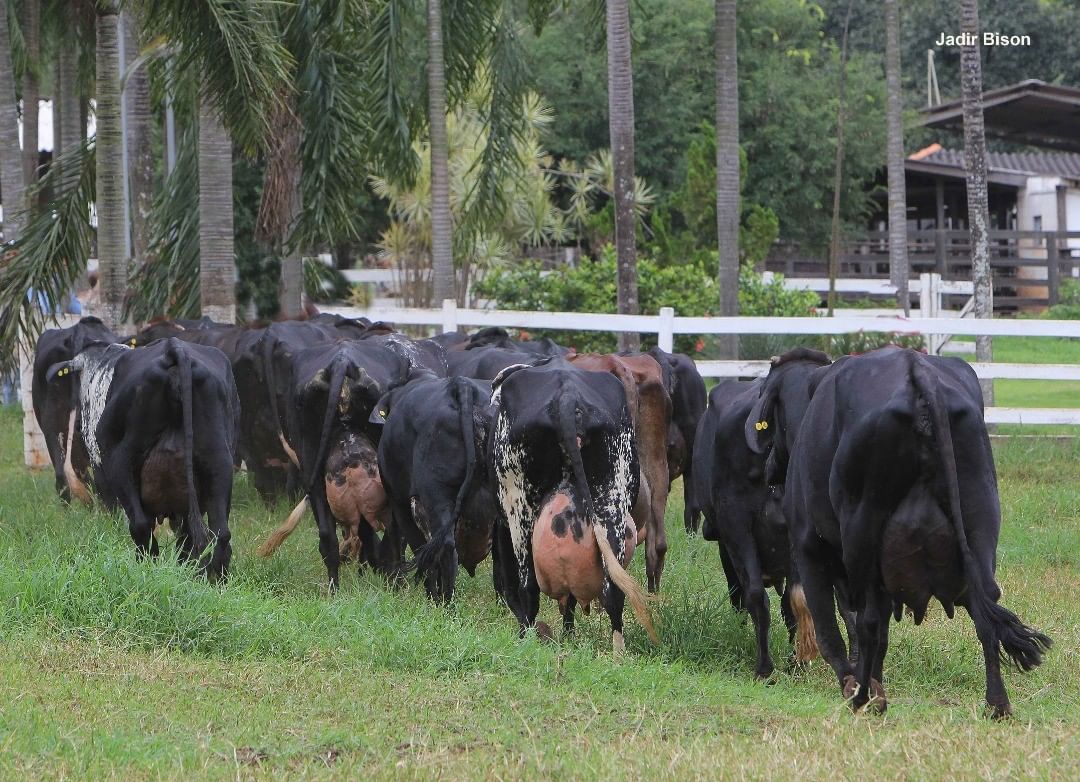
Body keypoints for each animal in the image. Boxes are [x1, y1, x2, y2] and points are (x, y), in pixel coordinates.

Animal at [367, 371, 494, 600]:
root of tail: (460, 385)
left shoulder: (399, 500)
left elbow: (412, 542)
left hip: (436, 495)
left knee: (445, 548)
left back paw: (442, 600)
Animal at [490, 356, 656, 652]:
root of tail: (567, 395)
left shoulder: (503, 520)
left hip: (521, 512)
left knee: (528, 587)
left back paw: (527, 640)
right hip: (610, 505)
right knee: (613, 589)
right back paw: (618, 653)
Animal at [781, 345, 1049, 712]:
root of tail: (915, 369)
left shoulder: (808, 544)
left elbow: (830, 629)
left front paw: (855, 684)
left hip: (861, 534)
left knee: (867, 621)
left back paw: (863, 698)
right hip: (979, 525)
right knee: (984, 613)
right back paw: (997, 705)